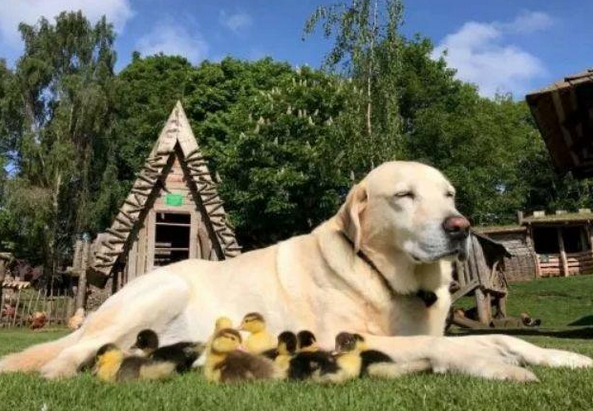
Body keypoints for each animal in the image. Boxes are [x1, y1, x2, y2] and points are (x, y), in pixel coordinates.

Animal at [0, 162, 588, 380]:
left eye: (449, 195)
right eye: (404, 196)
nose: (460, 226)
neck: (389, 279)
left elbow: (510, 338)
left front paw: (562, 356)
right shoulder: (341, 335)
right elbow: (452, 345)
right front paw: (490, 363)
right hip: (159, 289)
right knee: (71, 354)